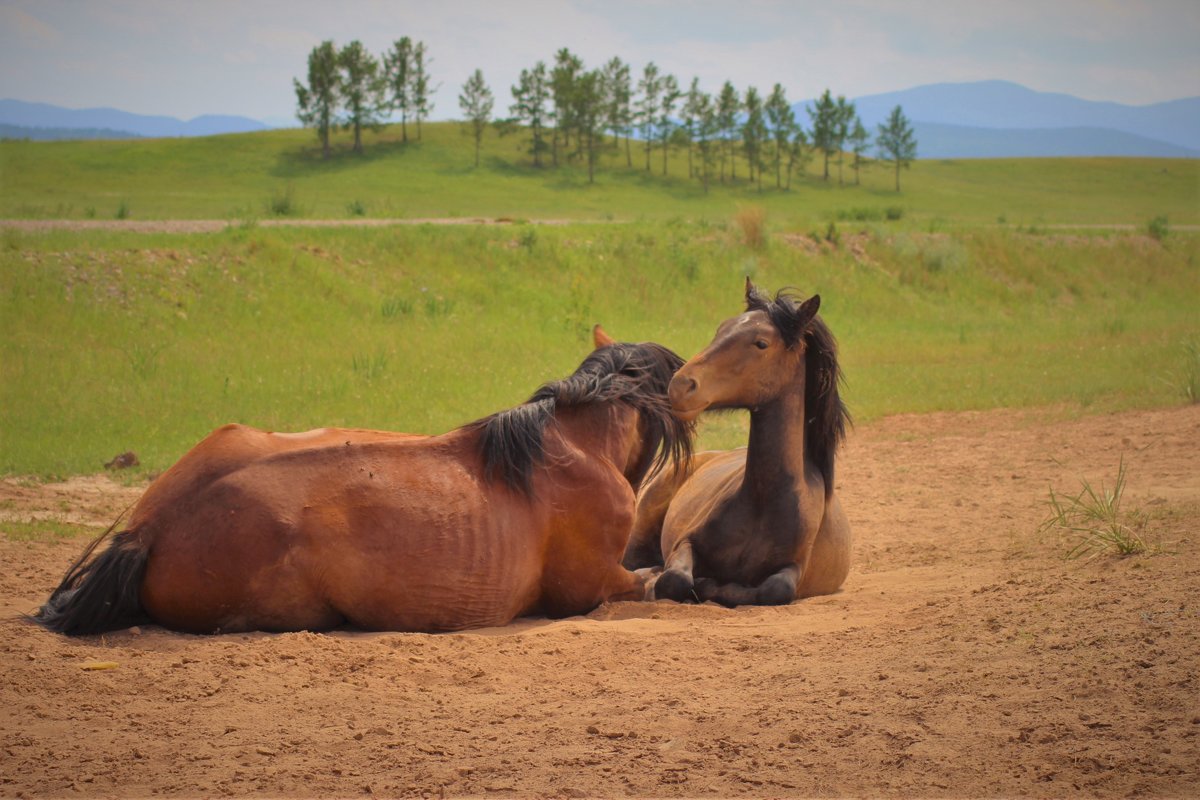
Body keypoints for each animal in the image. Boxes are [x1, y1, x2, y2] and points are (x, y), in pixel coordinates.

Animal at [628, 281, 854, 606]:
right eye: (721, 329)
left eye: (761, 343)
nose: (680, 386)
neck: (762, 500)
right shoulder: (686, 542)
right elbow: (675, 579)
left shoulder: (794, 568)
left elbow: (775, 589)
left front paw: (715, 587)